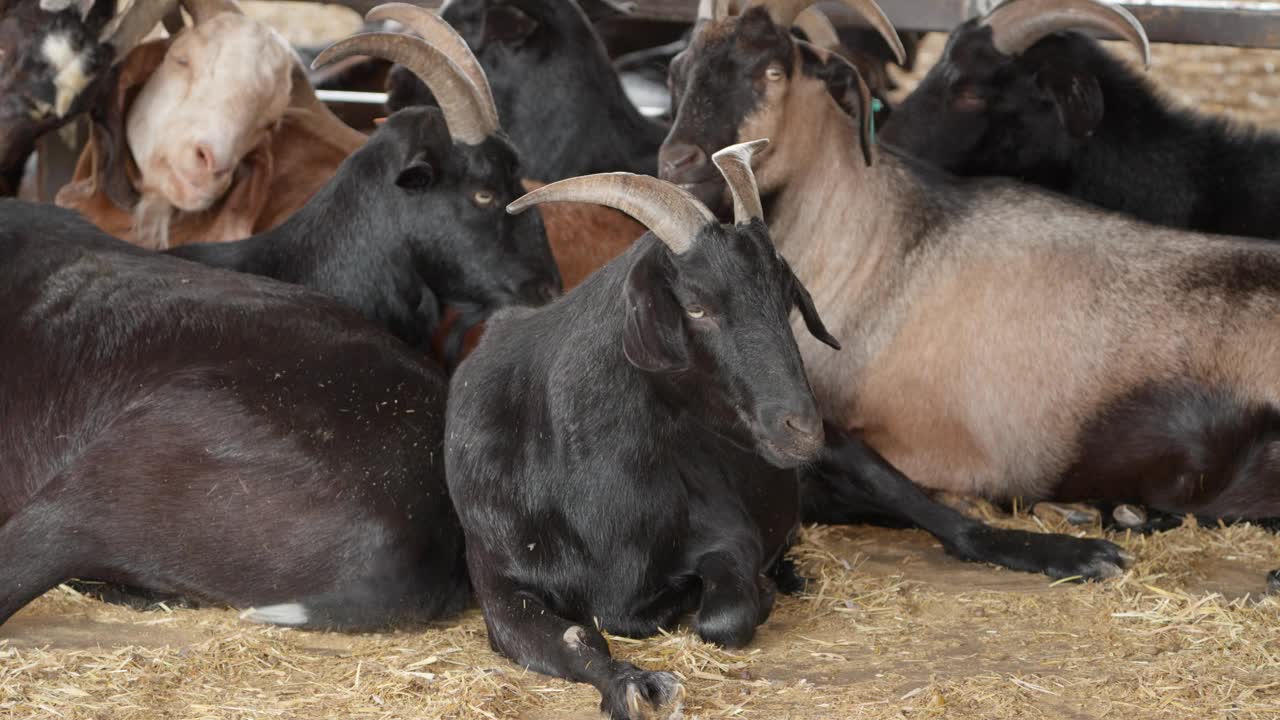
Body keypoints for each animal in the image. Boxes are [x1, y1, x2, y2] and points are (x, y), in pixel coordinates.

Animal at [445, 140, 1126, 717]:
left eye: (787, 298)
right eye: (696, 306)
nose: (801, 427)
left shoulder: (730, 532)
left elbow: (723, 616)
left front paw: (755, 593)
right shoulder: (500, 586)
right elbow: (576, 638)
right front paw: (633, 684)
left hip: (854, 458)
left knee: (951, 525)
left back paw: (1083, 552)